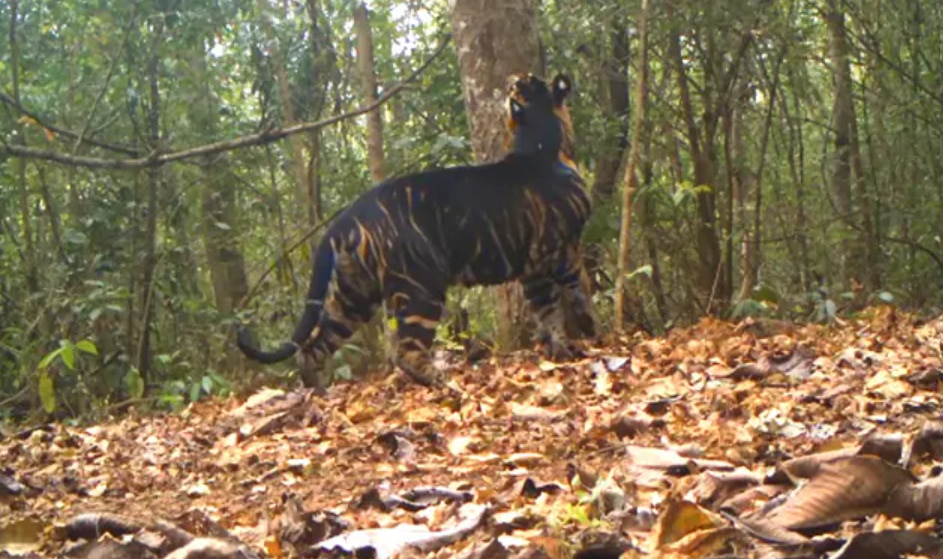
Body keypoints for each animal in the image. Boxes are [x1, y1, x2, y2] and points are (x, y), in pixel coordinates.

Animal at [240, 73, 600, 390]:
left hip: (353, 294)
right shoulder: (561, 249)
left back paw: (319, 393)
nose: (512, 79)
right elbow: (576, 290)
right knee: (407, 353)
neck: (540, 141)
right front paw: (589, 332)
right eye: (530, 81)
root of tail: (345, 219)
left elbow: (547, 311)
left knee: (314, 346)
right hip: (421, 288)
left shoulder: (533, 267)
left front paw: (558, 348)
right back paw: (445, 385)